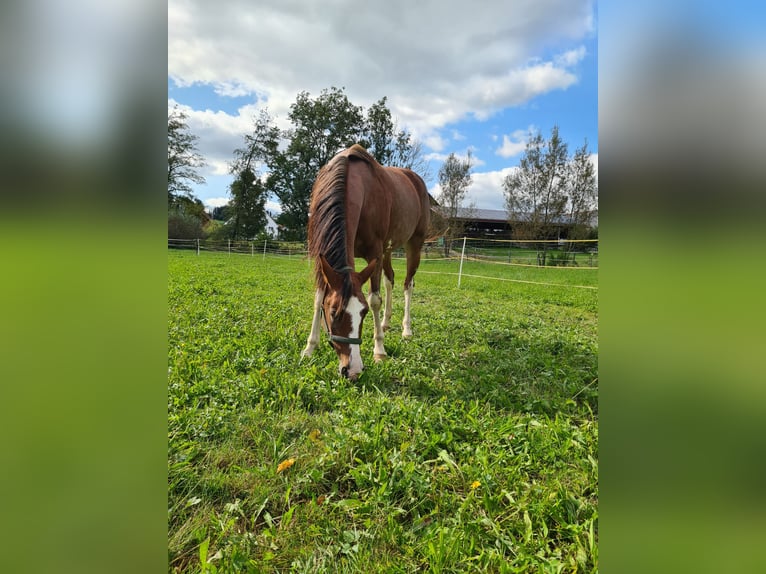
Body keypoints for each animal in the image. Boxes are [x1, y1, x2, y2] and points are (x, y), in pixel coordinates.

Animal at [302, 144, 432, 380]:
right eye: (333, 313)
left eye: (362, 314)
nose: (352, 370)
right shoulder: (323, 256)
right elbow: (318, 298)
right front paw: (309, 347)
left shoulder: (375, 253)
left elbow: (374, 300)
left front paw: (379, 350)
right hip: (388, 251)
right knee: (390, 280)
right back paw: (386, 323)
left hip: (414, 245)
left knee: (408, 284)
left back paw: (406, 329)